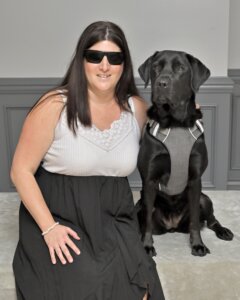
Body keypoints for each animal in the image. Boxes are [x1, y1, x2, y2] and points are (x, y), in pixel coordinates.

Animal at [136, 50, 233, 256]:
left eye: (180, 68)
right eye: (155, 67)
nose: (162, 83)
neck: (175, 124)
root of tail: (173, 226)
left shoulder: (195, 179)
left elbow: (196, 221)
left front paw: (198, 245)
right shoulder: (149, 180)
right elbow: (146, 221)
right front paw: (146, 246)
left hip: (205, 198)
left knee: (210, 220)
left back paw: (223, 231)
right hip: (139, 204)